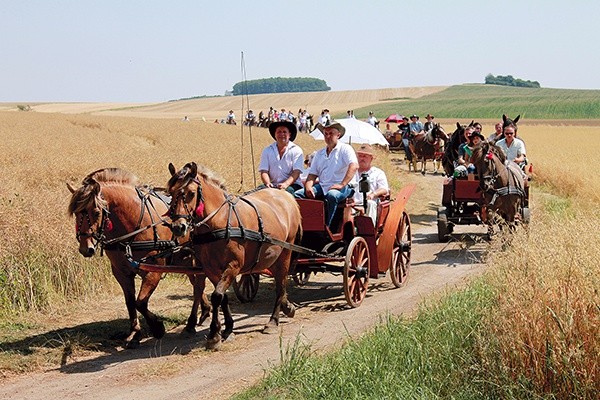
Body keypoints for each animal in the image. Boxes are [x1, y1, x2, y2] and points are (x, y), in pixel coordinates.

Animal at [66, 167, 209, 348]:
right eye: (75, 213)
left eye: (97, 212)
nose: (86, 249)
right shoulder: (121, 273)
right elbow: (130, 302)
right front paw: (134, 333)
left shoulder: (153, 271)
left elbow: (140, 302)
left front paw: (157, 327)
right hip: (185, 259)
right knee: (197, 283)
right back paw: (204, 311)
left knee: (199, 283)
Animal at [166, 162, 302, 350]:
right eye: (171, 193)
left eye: (191, 193)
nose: (179, 227)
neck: (219, 221)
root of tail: (285, 196)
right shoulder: (211, 269)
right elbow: (221, 297)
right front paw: (227, 328)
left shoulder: (233, 266)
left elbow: (216, 296)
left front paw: (214, 335)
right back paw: (287, 307)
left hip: (285, 252)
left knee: (280, 285)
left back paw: (273, 321)